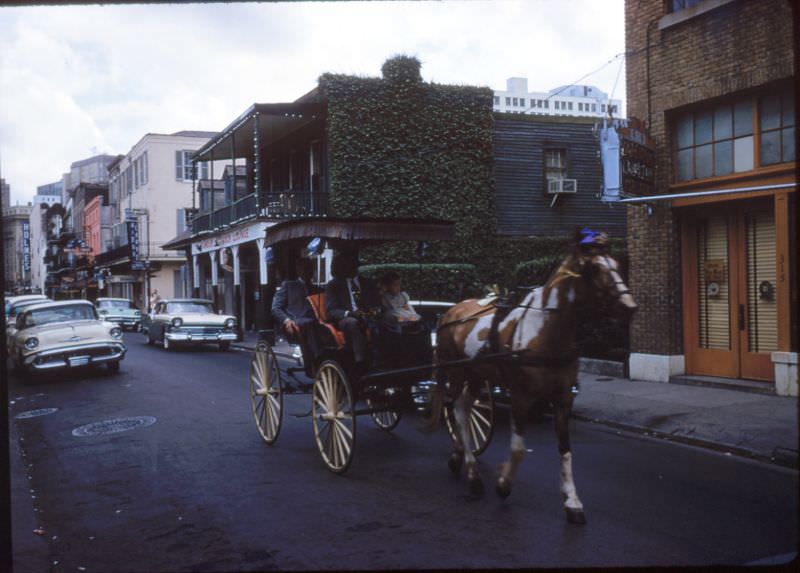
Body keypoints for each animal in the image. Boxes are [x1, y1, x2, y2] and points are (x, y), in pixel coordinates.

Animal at [422, 231, 636, 524]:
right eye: (594, 268)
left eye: (616, 263)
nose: (629, 306)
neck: (547, 330)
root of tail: (450, 312)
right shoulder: (521, 395)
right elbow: (518, 448)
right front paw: (504, 484)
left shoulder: (563, 398)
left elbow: (565, 449)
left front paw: (572, 501)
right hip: (456, 372)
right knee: (457, 411)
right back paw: (473, 475)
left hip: (477, 375)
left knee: (463, 409)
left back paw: (460, 459)